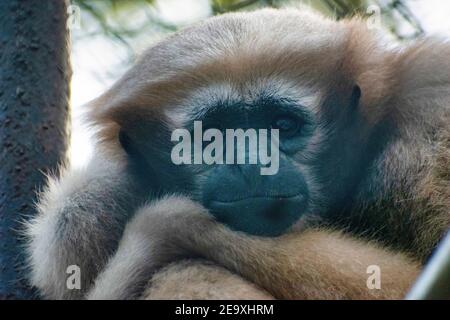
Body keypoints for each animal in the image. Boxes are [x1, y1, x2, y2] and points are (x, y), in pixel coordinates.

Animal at [25, 7, 450, 300]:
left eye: (283, 125)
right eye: (211, 136)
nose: (251, 162)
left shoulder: (428, 118)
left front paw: (164, 224)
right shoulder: (80, 218)